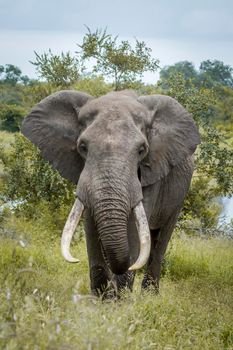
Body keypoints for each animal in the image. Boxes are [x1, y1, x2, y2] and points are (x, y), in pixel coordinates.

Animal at [22, 89, 200, 296]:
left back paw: (150, 295)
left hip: (180, 193)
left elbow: (134, 230)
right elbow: (90, 224)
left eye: (142, 149)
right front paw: (101, 299)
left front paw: (120, 298)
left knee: (161, 238)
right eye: (82, 147)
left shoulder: (151, 172)